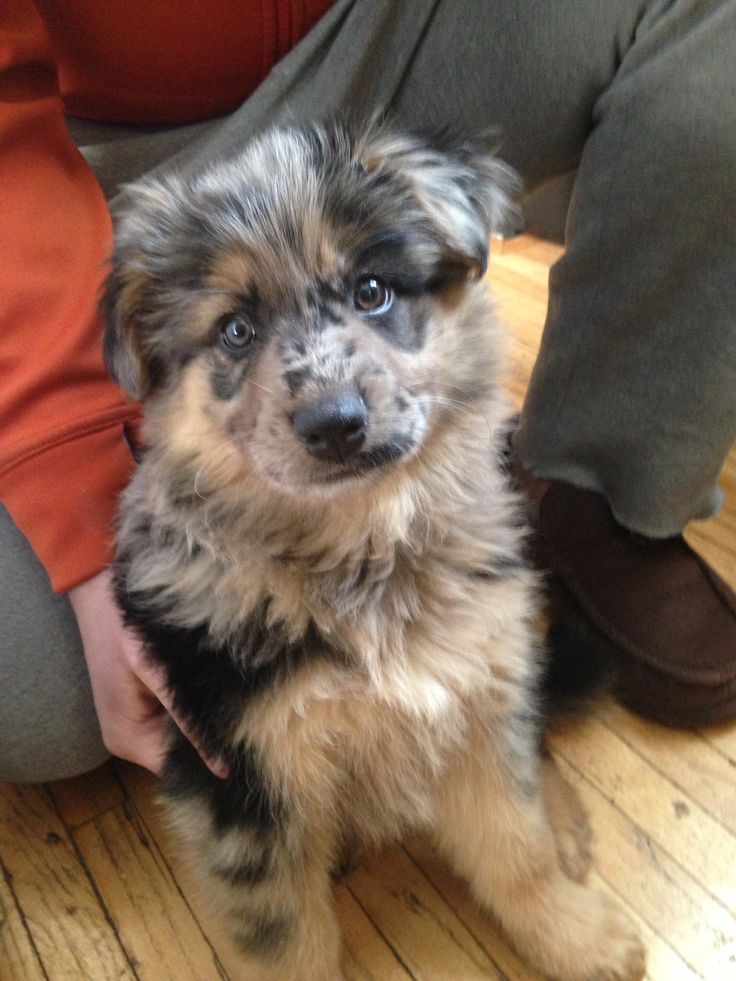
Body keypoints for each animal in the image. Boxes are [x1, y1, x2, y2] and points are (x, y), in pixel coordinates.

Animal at [103, 122, 644, 980]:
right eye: (235, 330)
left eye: (371, 291)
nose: (333, 424)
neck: (360, 554)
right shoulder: (246, 784)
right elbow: (287, 942)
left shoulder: (471, 700)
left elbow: (516, 846)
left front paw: (578, 937)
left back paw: (565, 825)